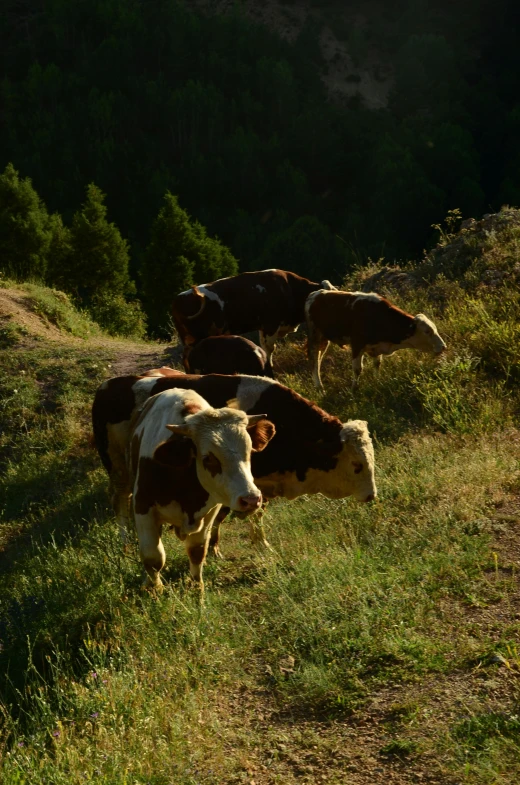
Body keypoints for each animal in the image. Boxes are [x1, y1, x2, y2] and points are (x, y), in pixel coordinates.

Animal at [93, 372, 376, 560]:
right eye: (357, 464)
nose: (372, 495)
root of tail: (107, 385)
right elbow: (225, 514)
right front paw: (218, 547)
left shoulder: (252, 484)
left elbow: (252, 513)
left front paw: (260, 543)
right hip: (117, 470)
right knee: (120, 500)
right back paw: (125, 541)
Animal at [172, 270, 338, 376]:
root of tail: (178, 299)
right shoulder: (271, 325)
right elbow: (269, 349)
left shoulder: (263, 327)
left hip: (188, 340)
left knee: (185, 358)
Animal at [304, 290, 446, 390]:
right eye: (427, 331)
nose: (443, 347)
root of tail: (315, 294)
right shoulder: (357, 344)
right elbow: (357, 369)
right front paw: (354, 389)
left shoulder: (376, 348)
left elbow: (377, 364)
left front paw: (377, 382)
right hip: (314, 336)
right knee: (314, 359)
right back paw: (319, 387)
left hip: (324, 339)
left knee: (319, 358)